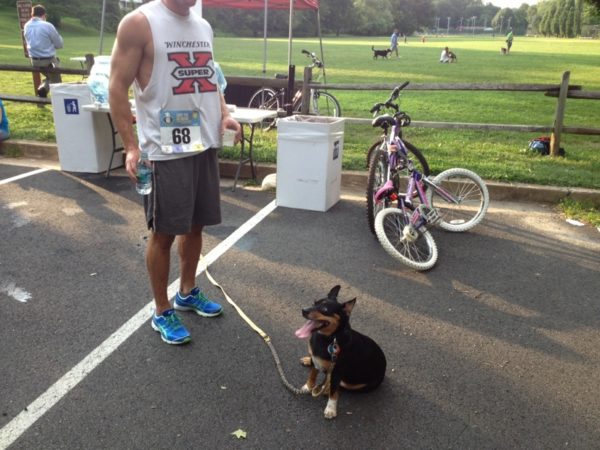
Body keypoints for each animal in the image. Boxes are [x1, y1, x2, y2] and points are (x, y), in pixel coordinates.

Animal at [294, 284, 386, 418]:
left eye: (325, 309)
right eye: (314, 302)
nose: (304, 310)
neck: (330, 338)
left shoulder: (337, 371)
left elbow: (334, 392)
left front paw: (331, 408)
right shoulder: (316, 360)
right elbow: (313, 373)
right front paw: (308, 386)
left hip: (355, 384)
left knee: (338, 386)